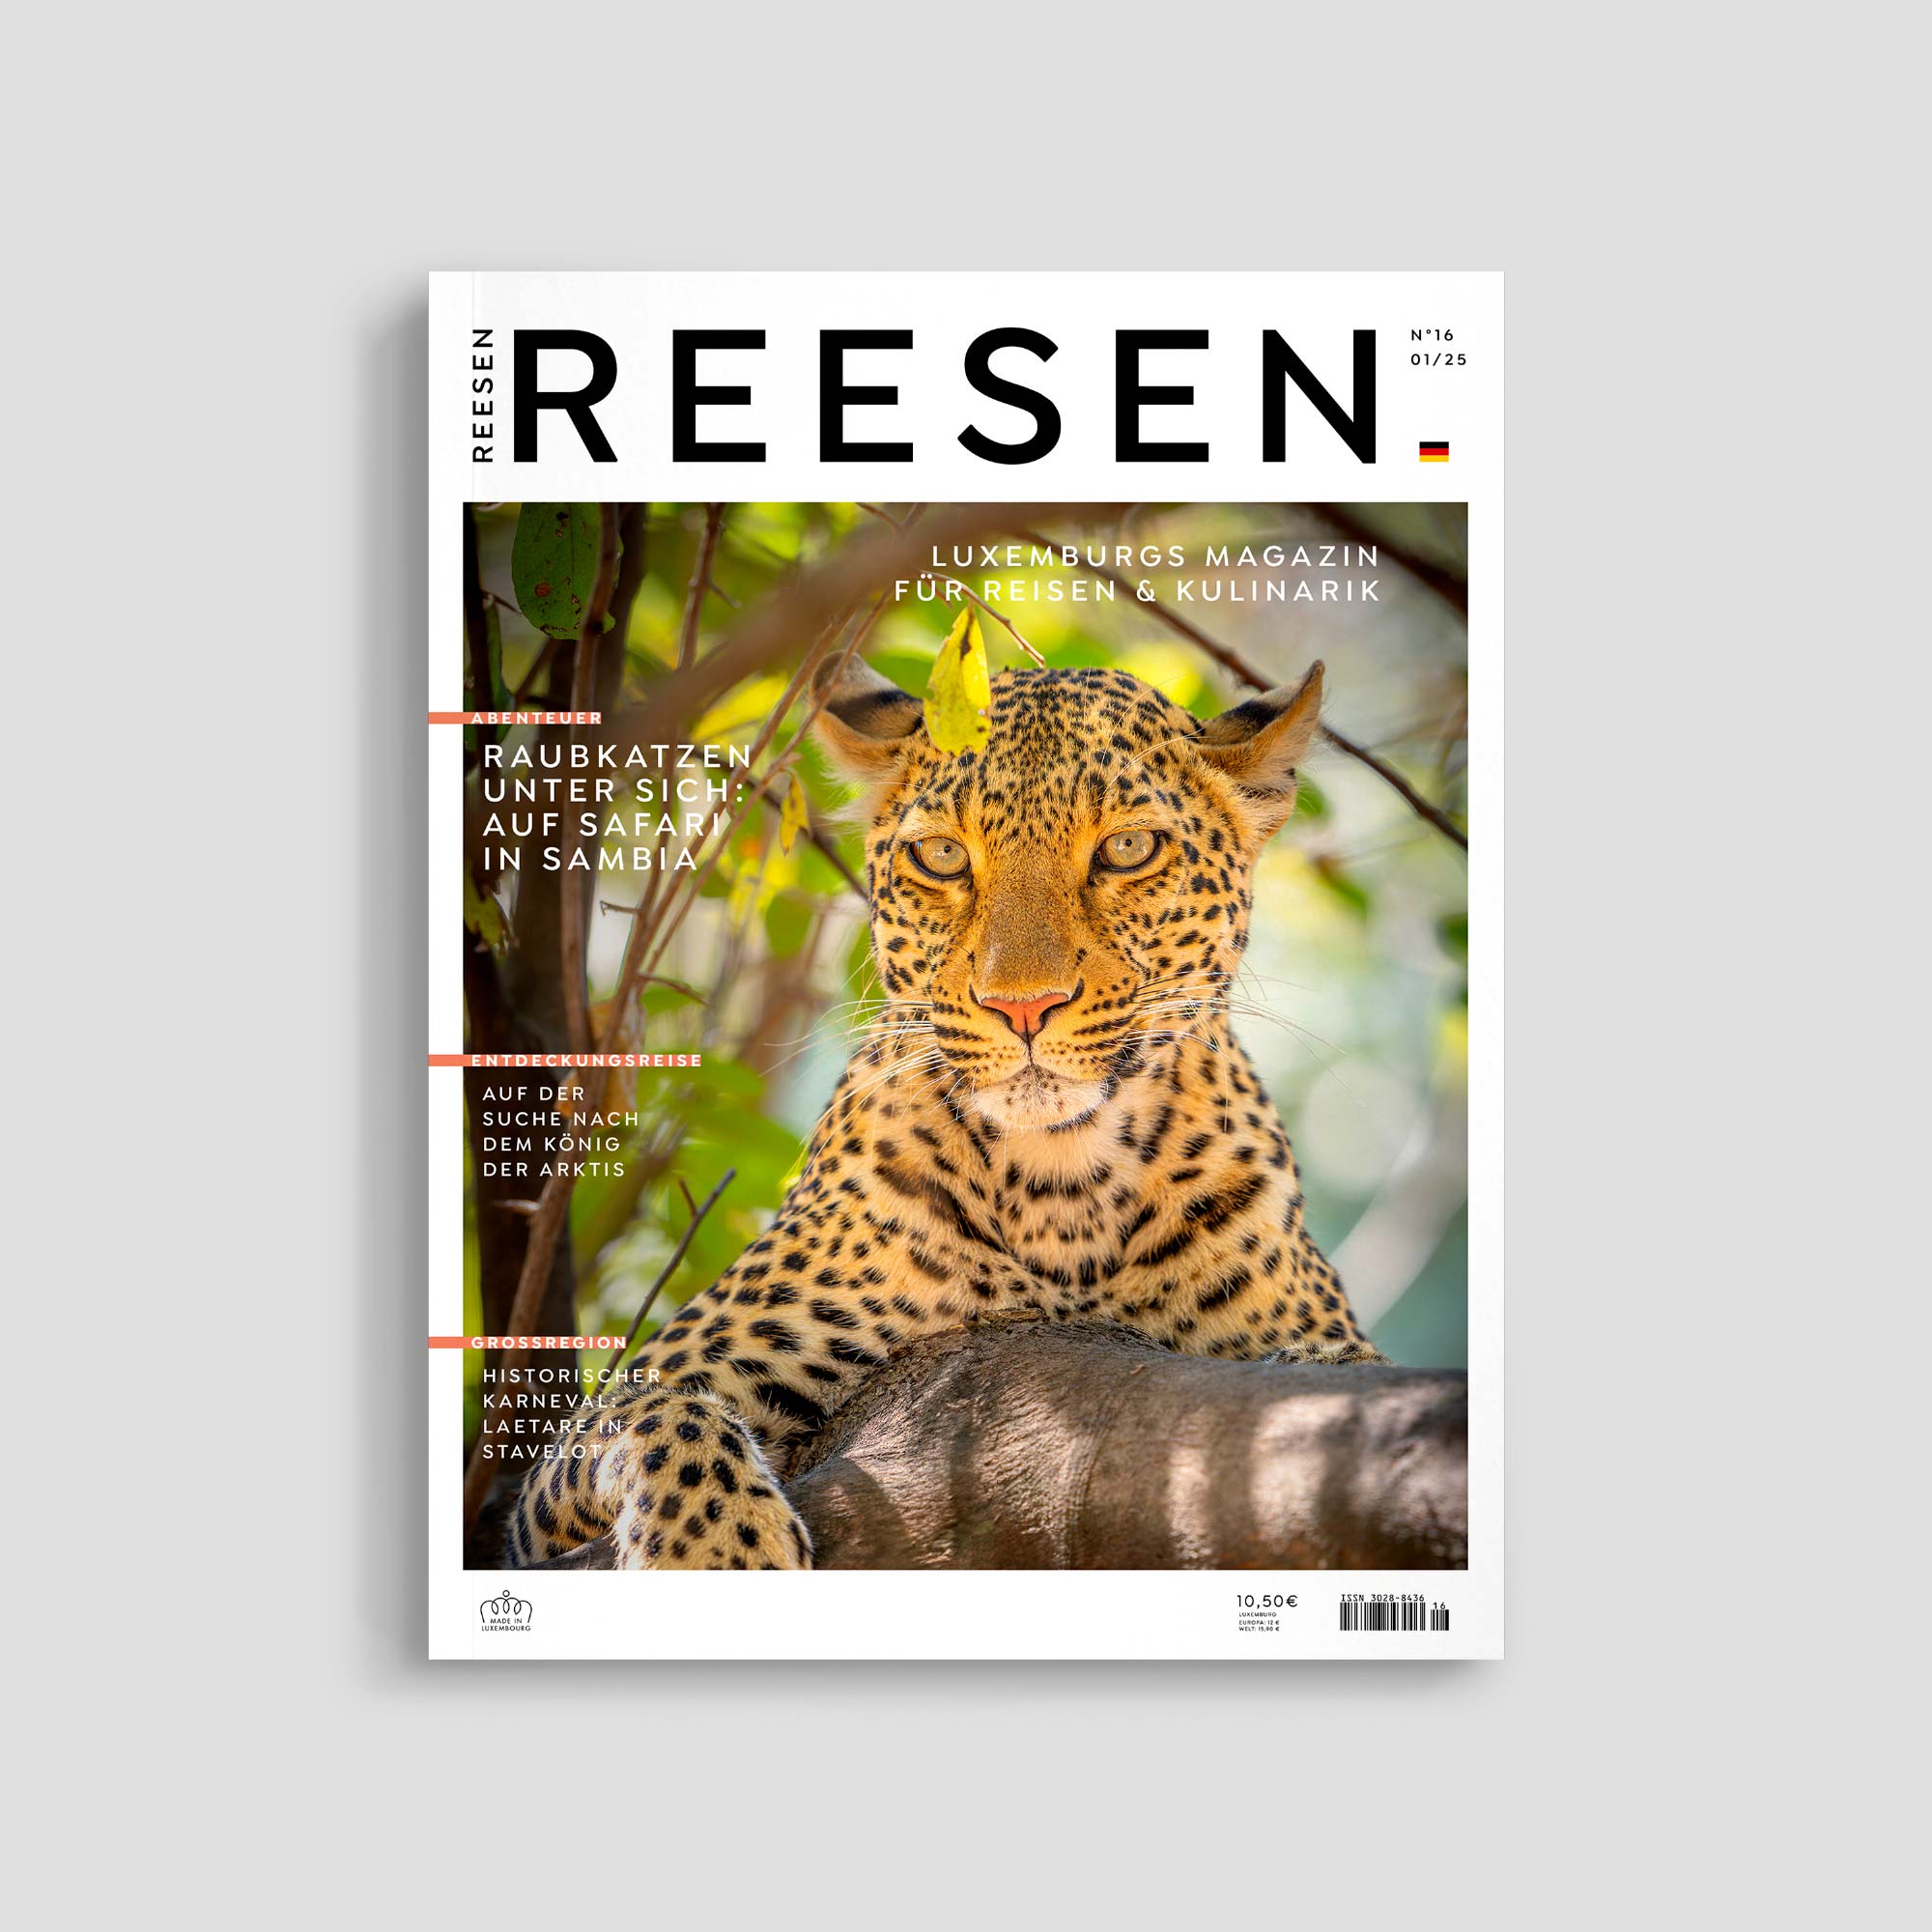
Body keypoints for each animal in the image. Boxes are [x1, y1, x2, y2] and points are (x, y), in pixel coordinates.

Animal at [508, 653, 1384, 1570]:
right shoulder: (618, 1421)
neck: (1062, 1183)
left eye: (1128, 848)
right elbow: (658, 1411)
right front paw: (718, 1555)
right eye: (941, 856)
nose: (1024, 1006)